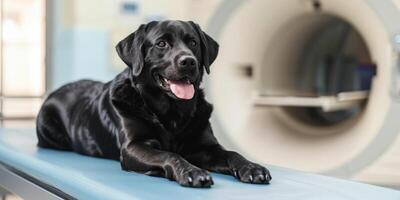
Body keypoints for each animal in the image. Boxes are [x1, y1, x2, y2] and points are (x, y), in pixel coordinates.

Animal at [36, 20, 270, 188]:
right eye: (161, 43)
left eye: (193, 42)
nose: (188, 61)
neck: (172, 112)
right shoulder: (134, 146)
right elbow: (169, 154)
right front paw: (192, 171)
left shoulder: (206, 147)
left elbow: (232, 153)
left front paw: (252, 167)